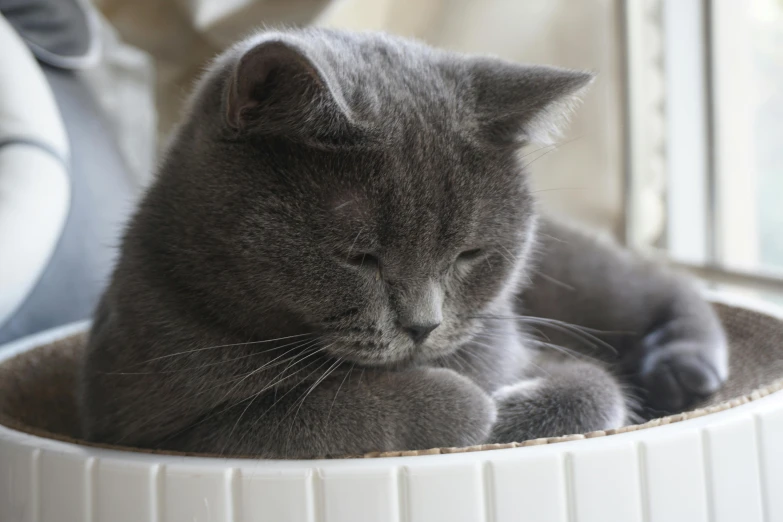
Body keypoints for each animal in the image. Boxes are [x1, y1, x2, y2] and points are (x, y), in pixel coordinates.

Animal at [79, 30, 728, 458]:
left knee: (663, 284)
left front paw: (507, 408)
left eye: (469, 254)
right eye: (358, 257)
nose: (423, 326)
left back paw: (687, 368)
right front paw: (478, 405)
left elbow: (594, 387)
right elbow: (321, 410)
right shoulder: (157, 433)